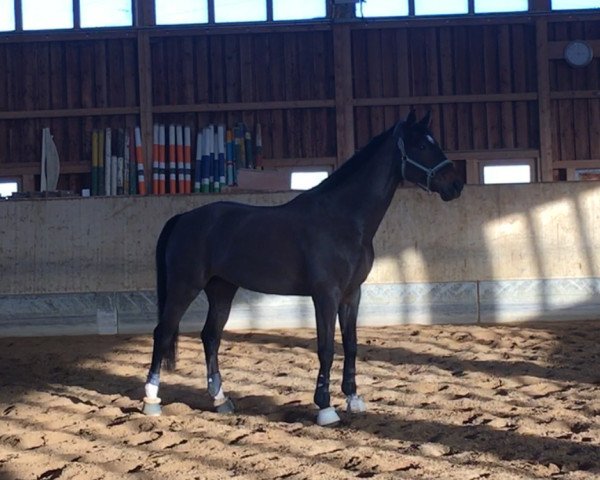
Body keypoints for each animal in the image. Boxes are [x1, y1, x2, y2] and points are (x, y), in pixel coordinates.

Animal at [144, 110, 464, 426]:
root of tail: (184, 218)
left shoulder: (352, 294)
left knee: (210, 336)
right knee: (163, 332)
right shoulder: (325, 295)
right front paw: (325, 408)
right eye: (420, 145)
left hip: (221, 289)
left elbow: (351, 345)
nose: (456, 184)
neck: (343, 219)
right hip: (185, 286)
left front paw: (353, 398)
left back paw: (221, 400)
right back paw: (152, 400)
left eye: (433, 142)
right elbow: (326, 348)